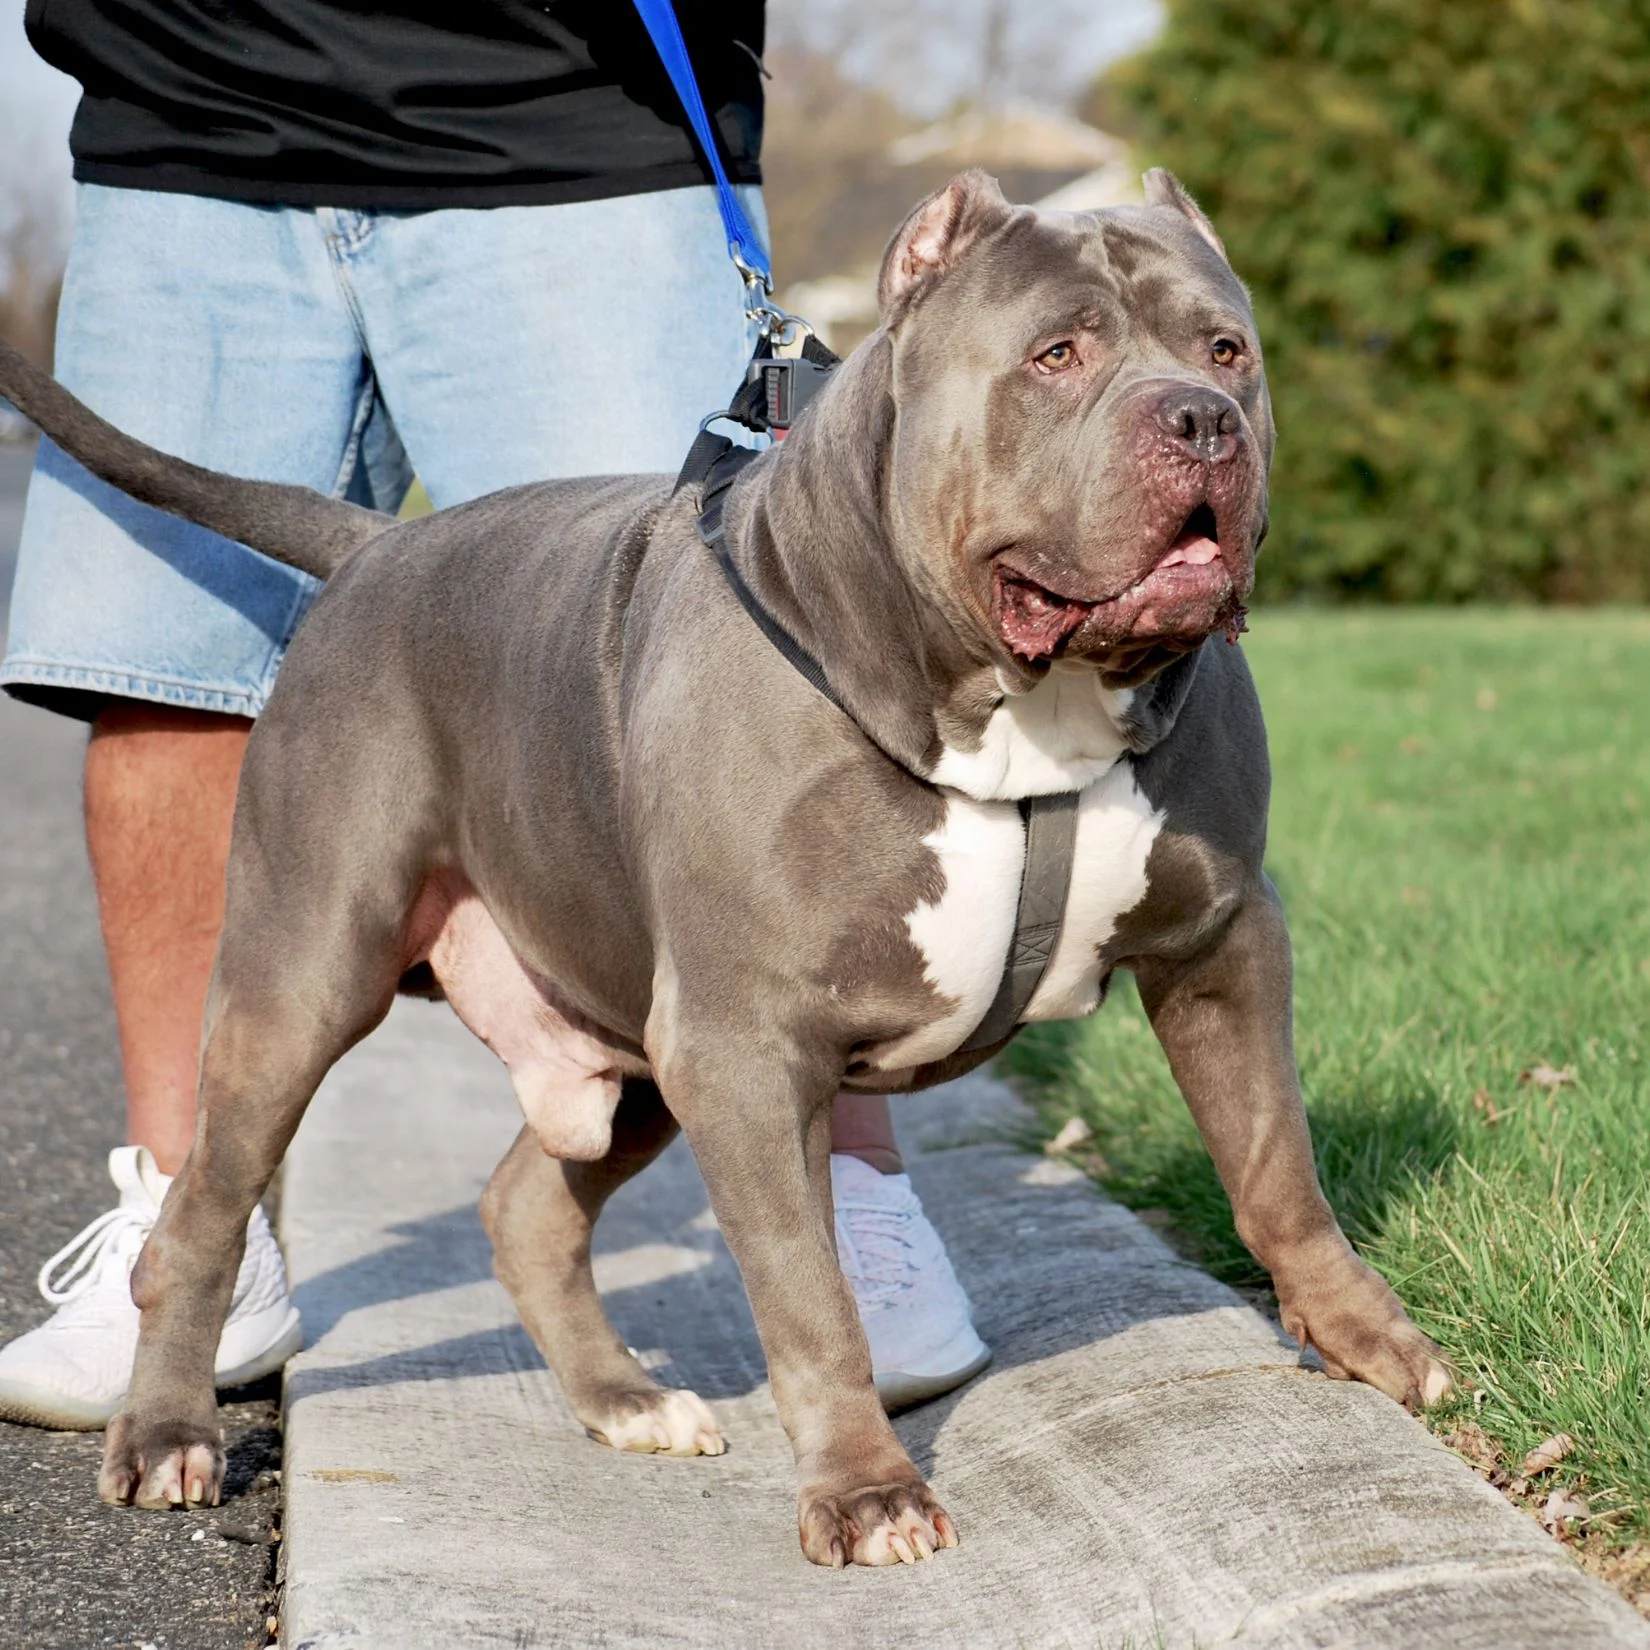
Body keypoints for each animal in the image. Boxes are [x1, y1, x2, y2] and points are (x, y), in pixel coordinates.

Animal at [0, 170, 1445, 1570]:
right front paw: (866, 1491)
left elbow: (1277, 1168)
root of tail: (372, 544)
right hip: (307, 980)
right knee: (202, 1211)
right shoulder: (747, 1044)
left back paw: (624, 1400)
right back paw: (166, 1433)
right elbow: (808, 1295)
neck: (1026, 703)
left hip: (625, 1027)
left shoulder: (1221, 941)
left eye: (1227, 349)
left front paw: (1367, 1340)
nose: (1203, 420)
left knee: (525, 1205)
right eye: (1058, 353)